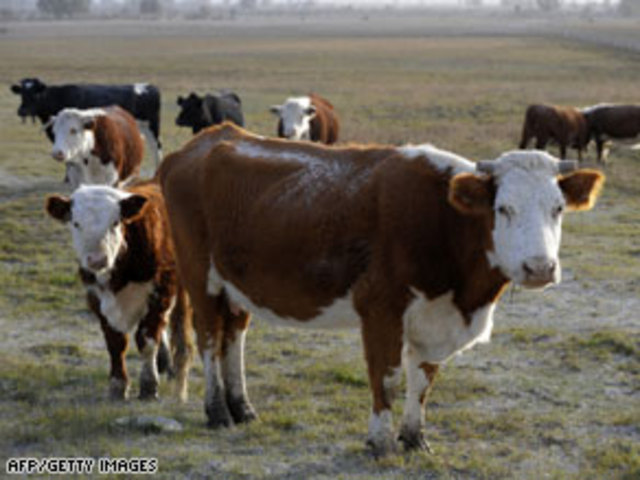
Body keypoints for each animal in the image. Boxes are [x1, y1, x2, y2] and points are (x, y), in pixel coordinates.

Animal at [10, 77, 162, 165]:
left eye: (35, 93)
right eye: (21, 93)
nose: (21, 111)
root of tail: (148, 86)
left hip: (152, 126)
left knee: (157, 147)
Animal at [45, 181, 193, 402]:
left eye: (115, 222)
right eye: (76, 223)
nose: (97, 260)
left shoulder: (161, 293)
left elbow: (146, 340)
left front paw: (149, 385)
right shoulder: (97, 298)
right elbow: (115, 343)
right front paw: (118, 385)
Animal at [159, 124, 604, 457]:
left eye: (558, 208)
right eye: (503, 209)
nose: (540, 268)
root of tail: (207, 140)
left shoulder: (434, 319)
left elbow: (423, 381)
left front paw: (414, 438)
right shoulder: (380, 309)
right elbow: (386, 378)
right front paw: (380, 442)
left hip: (238, 283)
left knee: (233, 336)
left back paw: (243, 407)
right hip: (199, 275)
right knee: (209, 337)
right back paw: (217, 411)